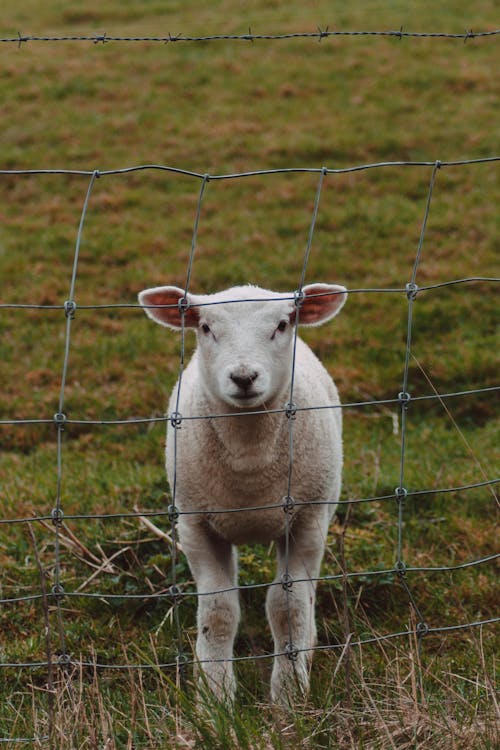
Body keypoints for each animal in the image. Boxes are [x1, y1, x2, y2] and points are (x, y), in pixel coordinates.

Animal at [137, 282, 348, 704]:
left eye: (282, 324)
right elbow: (218, 611)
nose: (244, 377)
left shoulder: (308, 520)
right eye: (205, 327)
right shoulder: (196, 525)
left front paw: (289, 696)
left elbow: (288, 606)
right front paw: (214, 699)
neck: (249, 462)